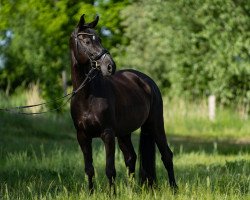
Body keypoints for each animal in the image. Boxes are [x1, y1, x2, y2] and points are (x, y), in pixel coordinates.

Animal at [69, 14, 177, 192]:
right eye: (86, 41)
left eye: (99, 39)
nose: (109, 66)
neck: (87, 96)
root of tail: (147, 81)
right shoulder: (82, 136)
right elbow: (89, 169)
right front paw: (91, 193)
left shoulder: (107, 134)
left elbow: (110, 169)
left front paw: (112, 193)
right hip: (124, 132)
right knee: (131, 157)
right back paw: (131, 190)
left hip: (155, 125)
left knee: (167, 155)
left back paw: (174, 188)